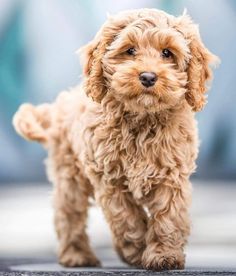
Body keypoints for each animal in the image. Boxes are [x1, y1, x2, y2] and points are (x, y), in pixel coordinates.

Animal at [13, 8, 219, 270]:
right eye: (130, 50)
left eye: (167, 53)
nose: (148, 77)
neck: (142, 120)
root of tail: (64, 101)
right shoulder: (109, 179)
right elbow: (126, 217)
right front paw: (136, 250)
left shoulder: (171, 175)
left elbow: (168, 217)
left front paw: (164, 255)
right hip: (70, 176)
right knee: (68, 214)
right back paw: (76, 255)